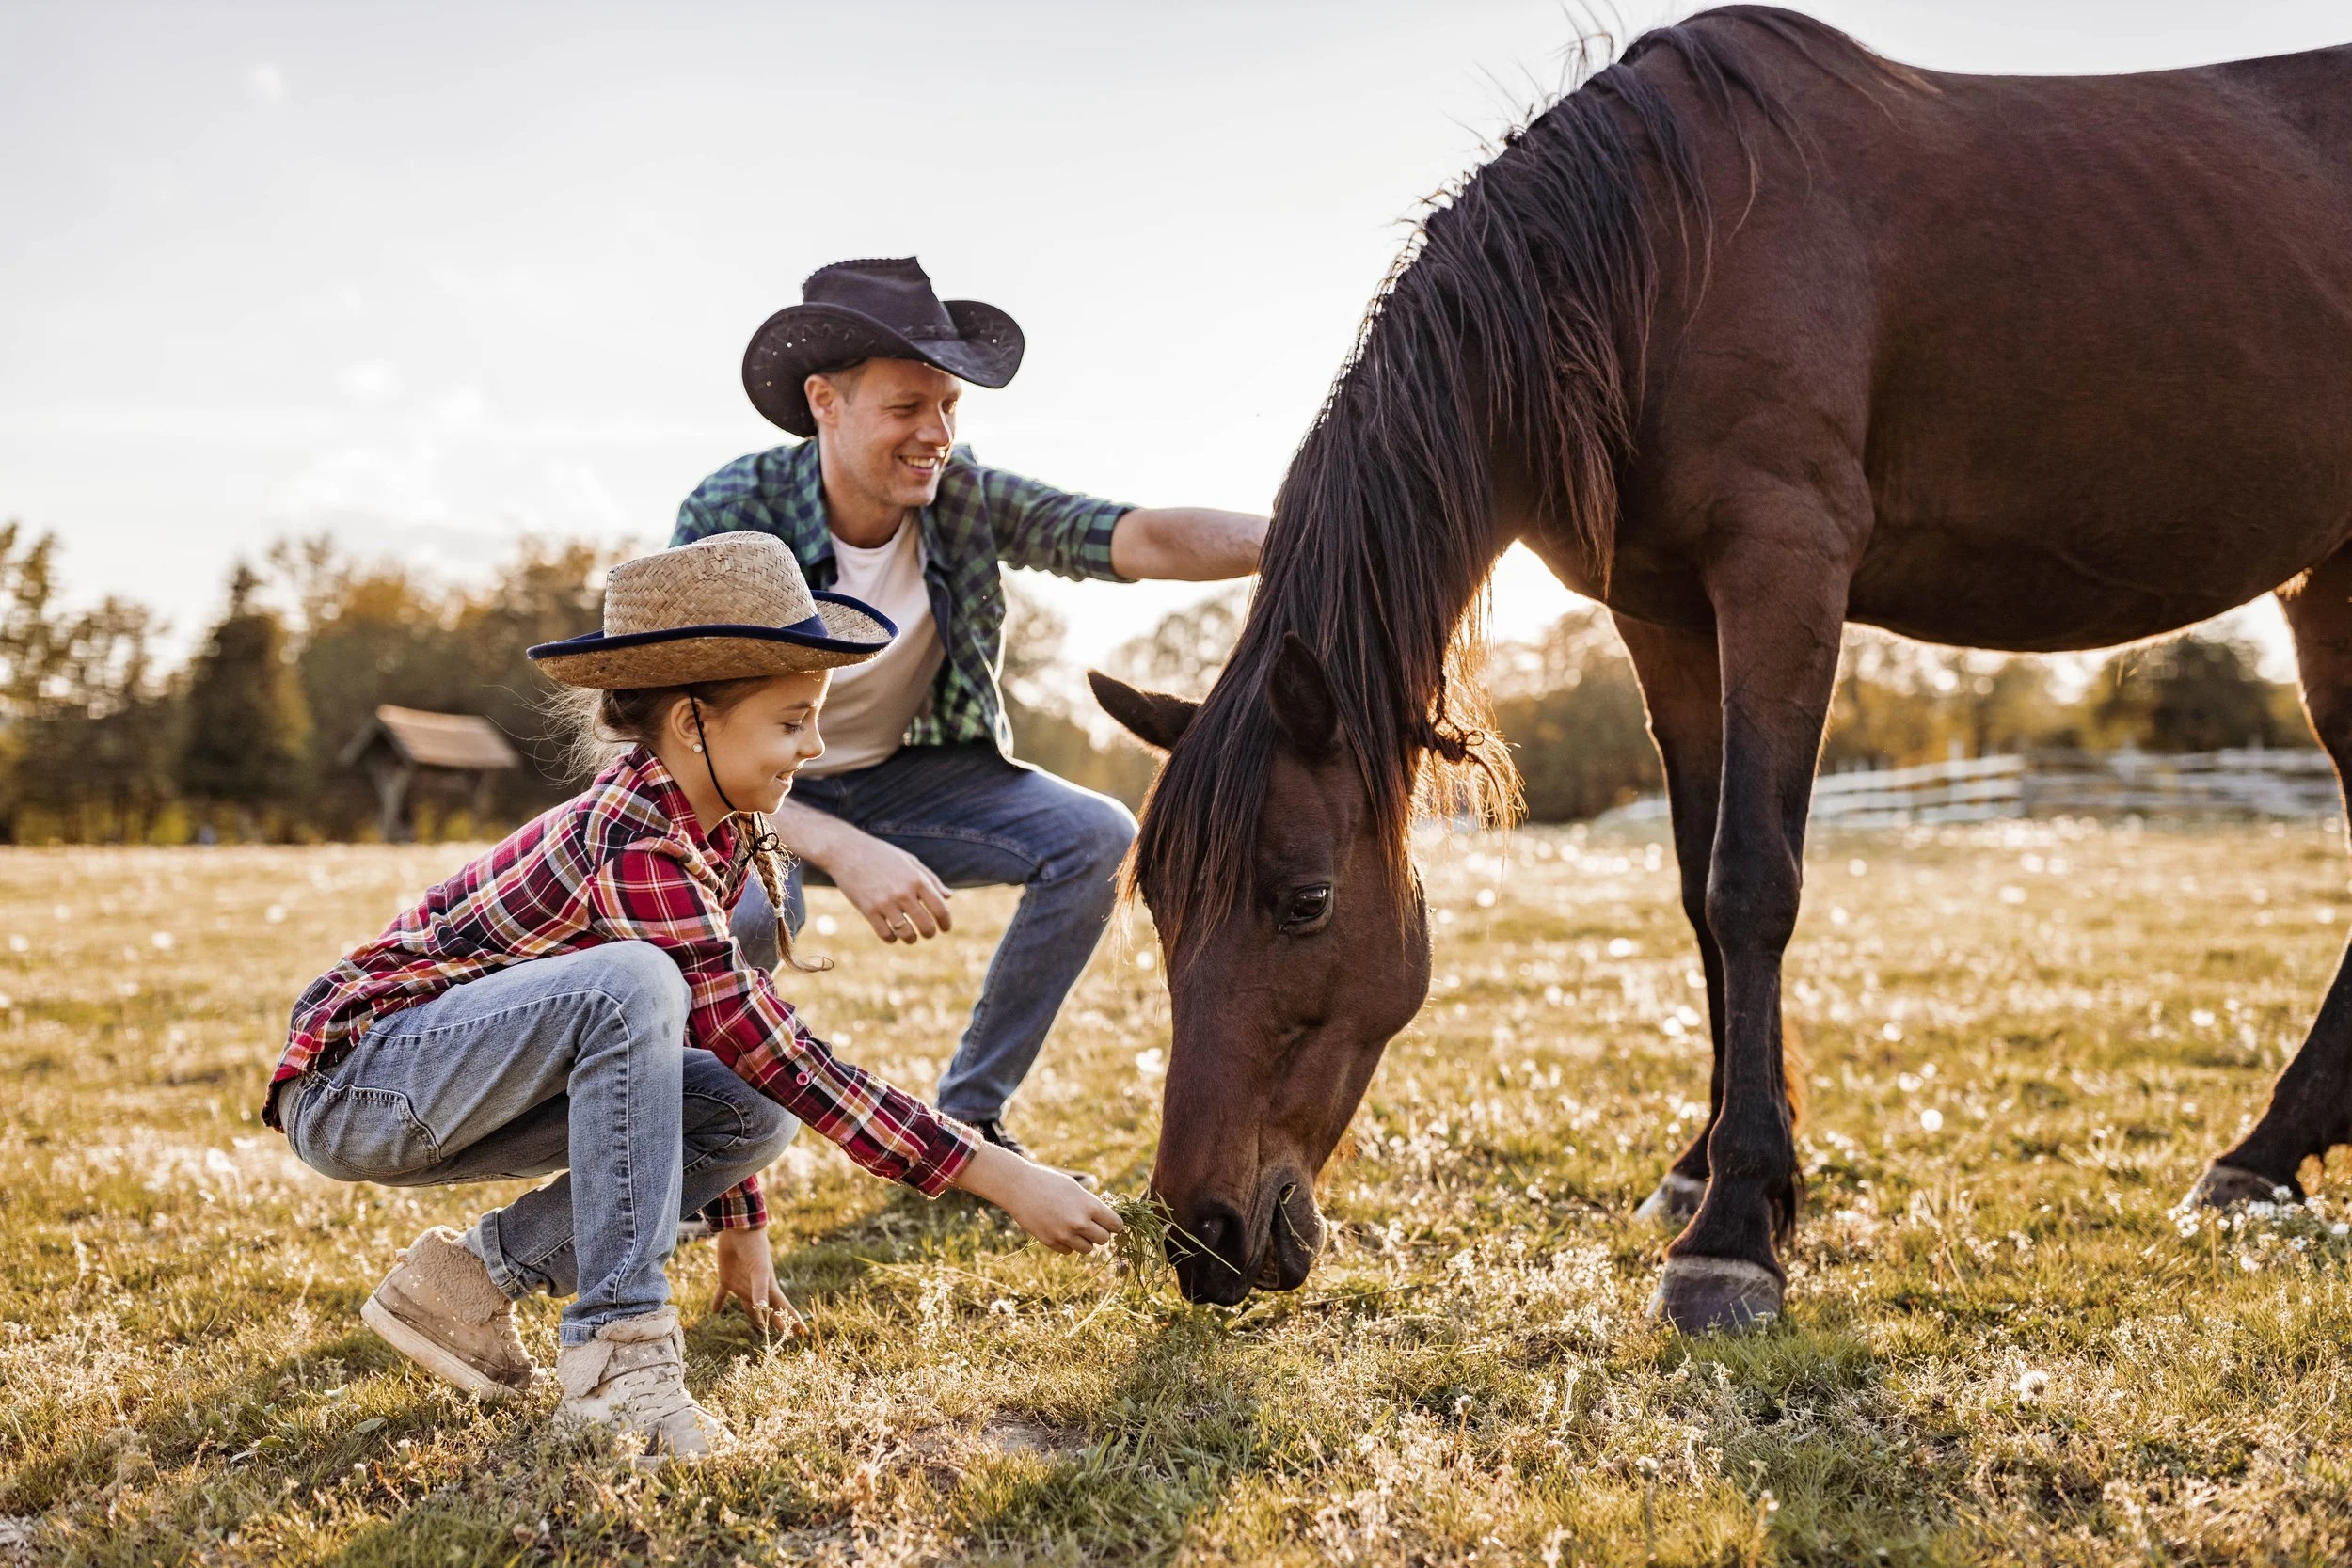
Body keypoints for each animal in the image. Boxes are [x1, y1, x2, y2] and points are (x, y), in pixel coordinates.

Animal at [1087, 6, 2352, 1331]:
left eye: (1305, 901)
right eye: (1159, 904)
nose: (1204, 1236)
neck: (1660, 255)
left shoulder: (1781, 566)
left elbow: (1751, 880)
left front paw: (1735, 1229)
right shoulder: (1666, 615)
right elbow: (1697, 889)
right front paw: (1703, 1168)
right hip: (2330, 588)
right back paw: (2262, 1161)